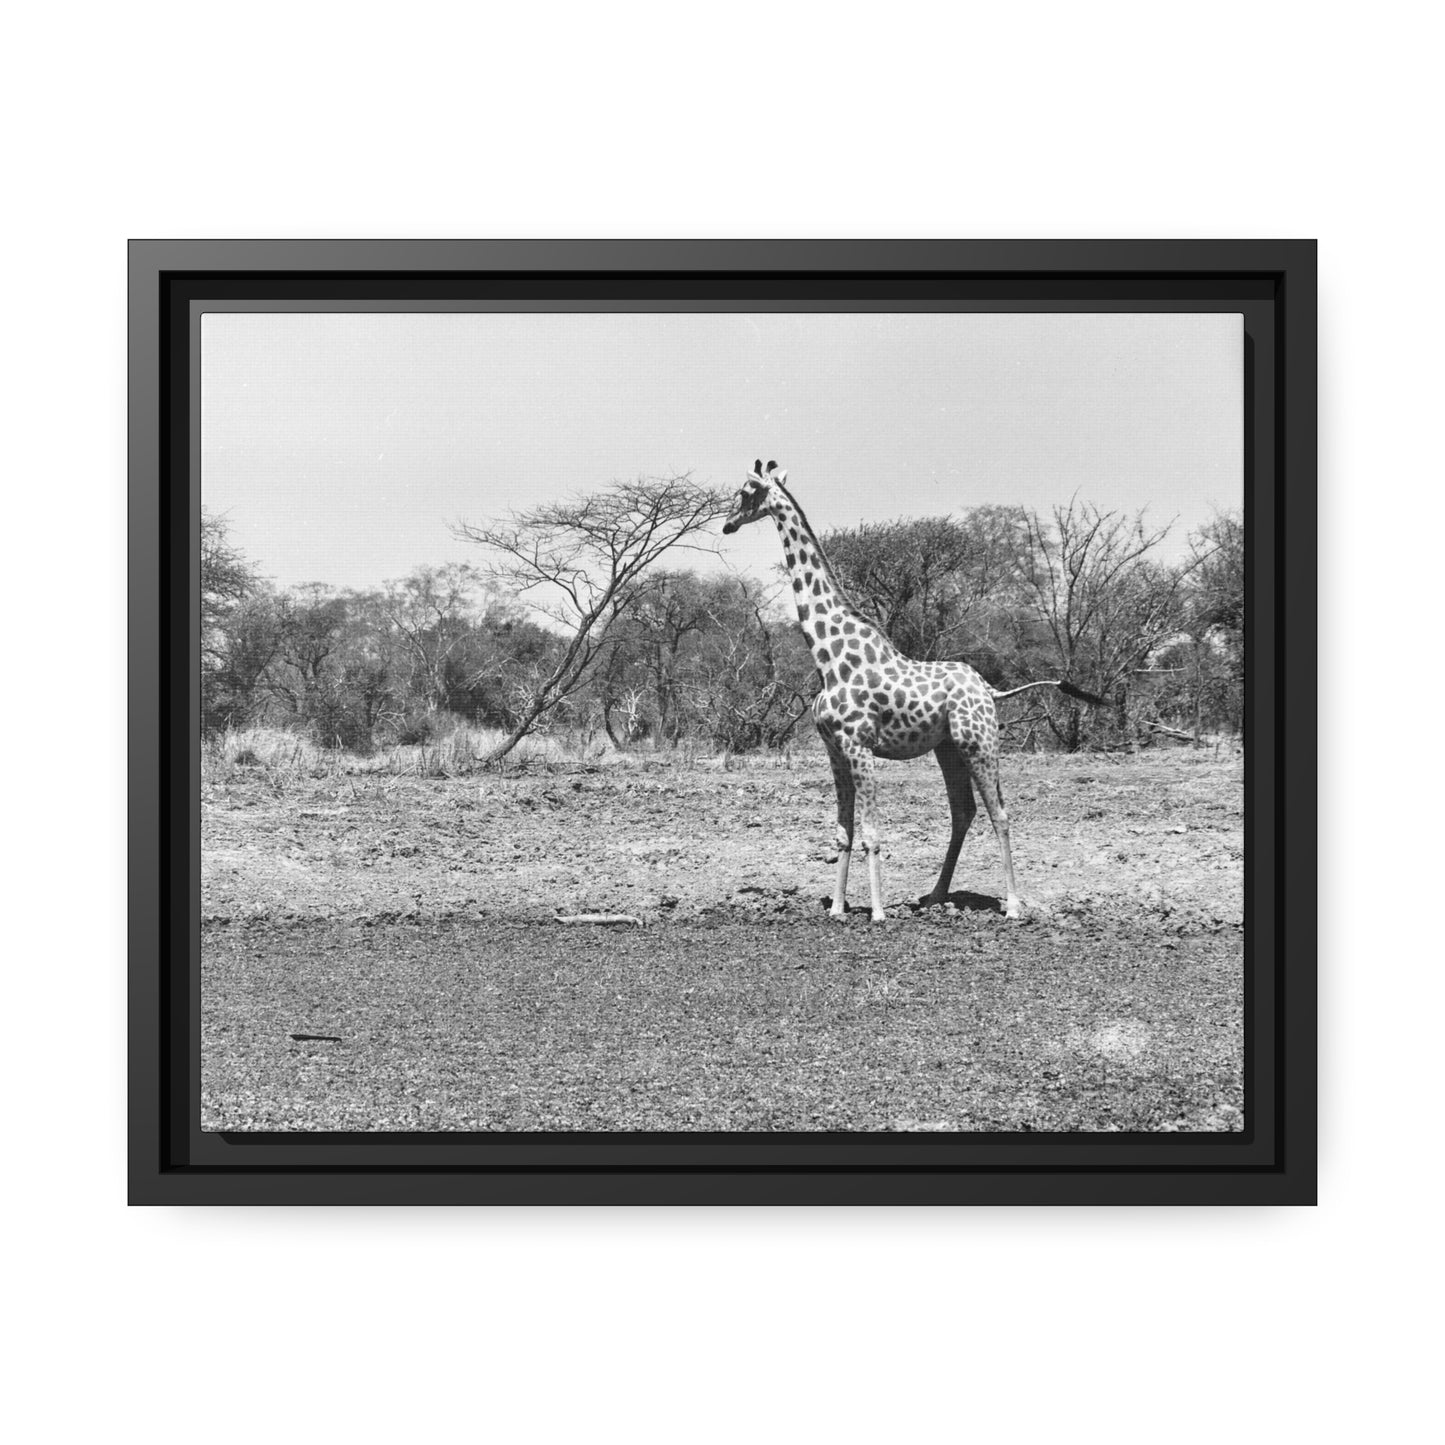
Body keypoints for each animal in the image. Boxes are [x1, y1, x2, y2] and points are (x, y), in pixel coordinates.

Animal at [722, 460, 1099, 922]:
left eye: (745, 492)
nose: (727, 524)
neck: (828, 658)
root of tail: (989, 690)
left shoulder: (859, 746)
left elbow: (872, 833)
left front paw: (878, 912)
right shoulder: (834, 750)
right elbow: (844, 832)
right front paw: (838, 908)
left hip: (980, 742)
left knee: (1001, 813)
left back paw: (1012, 905)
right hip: (949, 748)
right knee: (964, 811)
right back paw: (935, 896)